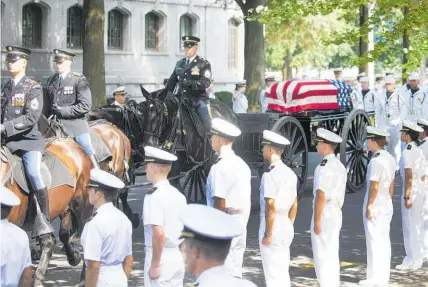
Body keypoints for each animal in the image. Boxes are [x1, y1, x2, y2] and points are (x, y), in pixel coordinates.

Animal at [1, 138, 92, 287]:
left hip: (81, 203)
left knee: (53, 240)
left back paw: (83, 279)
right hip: (63, 206)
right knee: (61, 235)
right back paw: (73, 258)